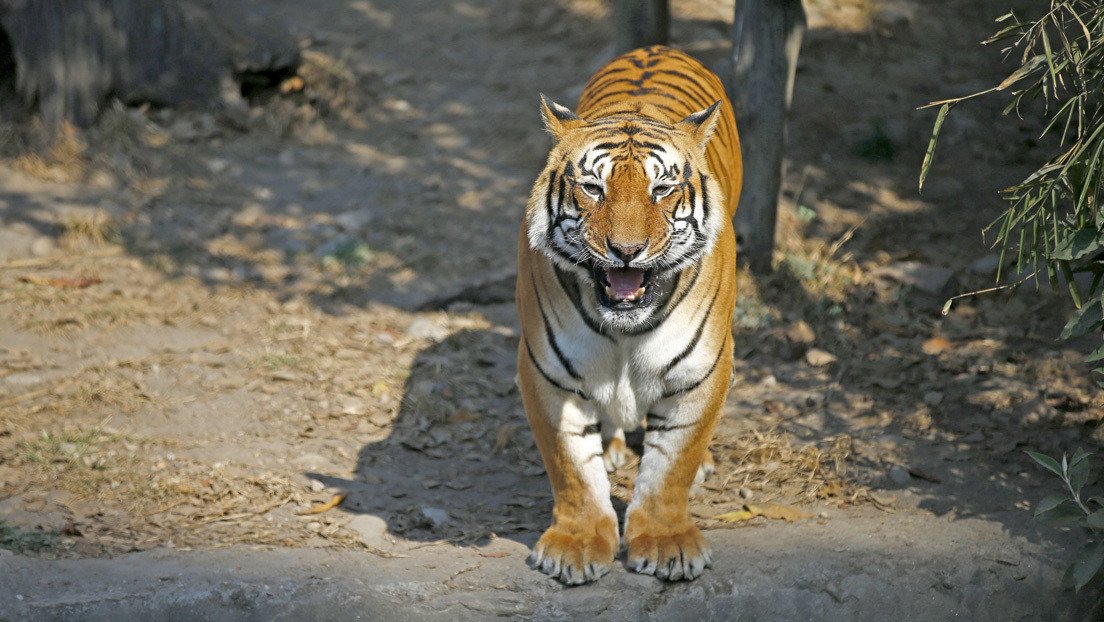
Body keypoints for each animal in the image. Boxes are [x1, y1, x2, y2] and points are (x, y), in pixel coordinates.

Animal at [515, 45, 741, 585]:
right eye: (593, 188)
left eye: (661, 190)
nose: (626, 250)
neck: (624, 328)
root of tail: (657, 47)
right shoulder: (547, 371)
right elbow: (572, 467)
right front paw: (576, 546)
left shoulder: (702, 370)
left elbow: (672, 464)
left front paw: (665, 544)